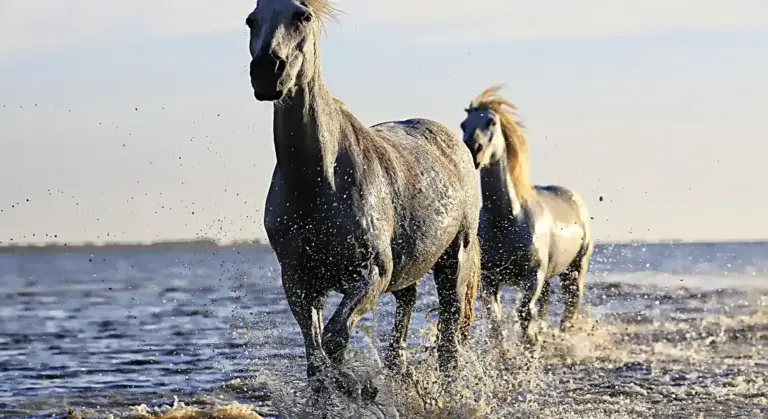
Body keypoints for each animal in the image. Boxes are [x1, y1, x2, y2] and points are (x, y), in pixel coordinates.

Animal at [245, 0, 481, 400]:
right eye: (251, 20)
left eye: (302, 16)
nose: (267, 71)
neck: (318, 182)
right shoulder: (299, 281)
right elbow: (316, 358)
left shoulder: (371, 273)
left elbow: (335, 339)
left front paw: (356, 388)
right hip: (409, 270)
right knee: (405, 314)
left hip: (454, 262)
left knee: (449, 343)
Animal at [459, 84, 593, 346]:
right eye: (463, 124)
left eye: (491, 122)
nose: (473, 150)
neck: (506, 221)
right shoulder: (490, 280)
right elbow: (495, 320)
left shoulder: (532, 277)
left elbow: (524, 314)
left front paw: (529, 346)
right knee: (545, 305)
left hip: (575, 270)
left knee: (570, 307)